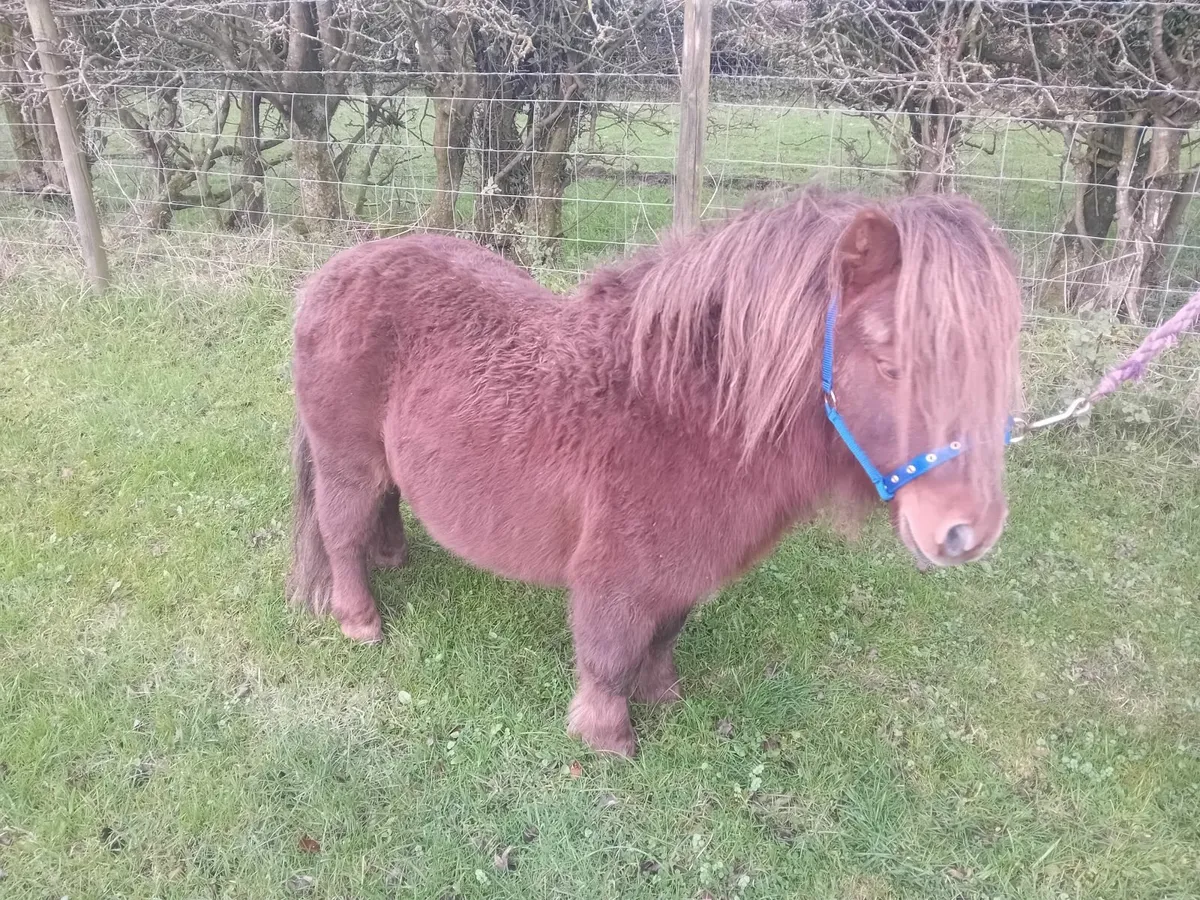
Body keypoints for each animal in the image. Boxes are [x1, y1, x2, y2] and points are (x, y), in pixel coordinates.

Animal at [285, 184, 1022, 758]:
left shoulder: (684, 562)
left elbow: (665, 634)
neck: (682, 411)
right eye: (893, 366)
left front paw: (664, 695)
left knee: (382, 506)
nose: (966, 532)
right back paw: (361, 619)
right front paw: (608, 737)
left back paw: (395, 557)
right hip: (346, 459)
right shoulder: (615, 571)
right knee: (341, 529)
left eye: (993, 368)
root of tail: (333, 272)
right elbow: (609, 653)